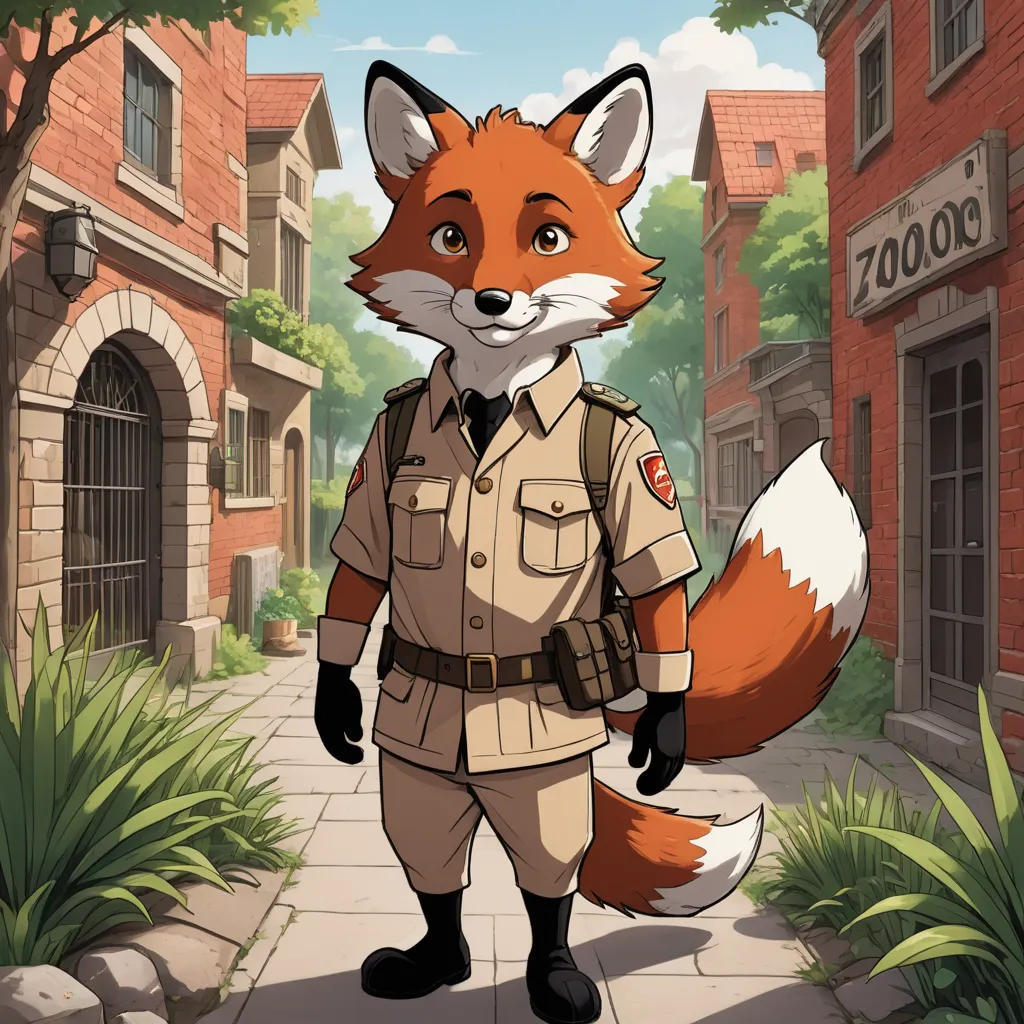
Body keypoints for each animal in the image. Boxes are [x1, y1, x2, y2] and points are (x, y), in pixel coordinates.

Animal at [320, 58, 869, 1023]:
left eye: (547, 237)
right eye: (450, 235)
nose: (491, 300)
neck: (493, 394)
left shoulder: (636, 463)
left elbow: (653, 590)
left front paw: (664, 733)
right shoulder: (382, 470)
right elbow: (360, 573)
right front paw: (332, 706)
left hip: (540, 771)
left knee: (546, 858)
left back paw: (554, 973)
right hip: (420, 758)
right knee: (430, 847)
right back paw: (438, 960)